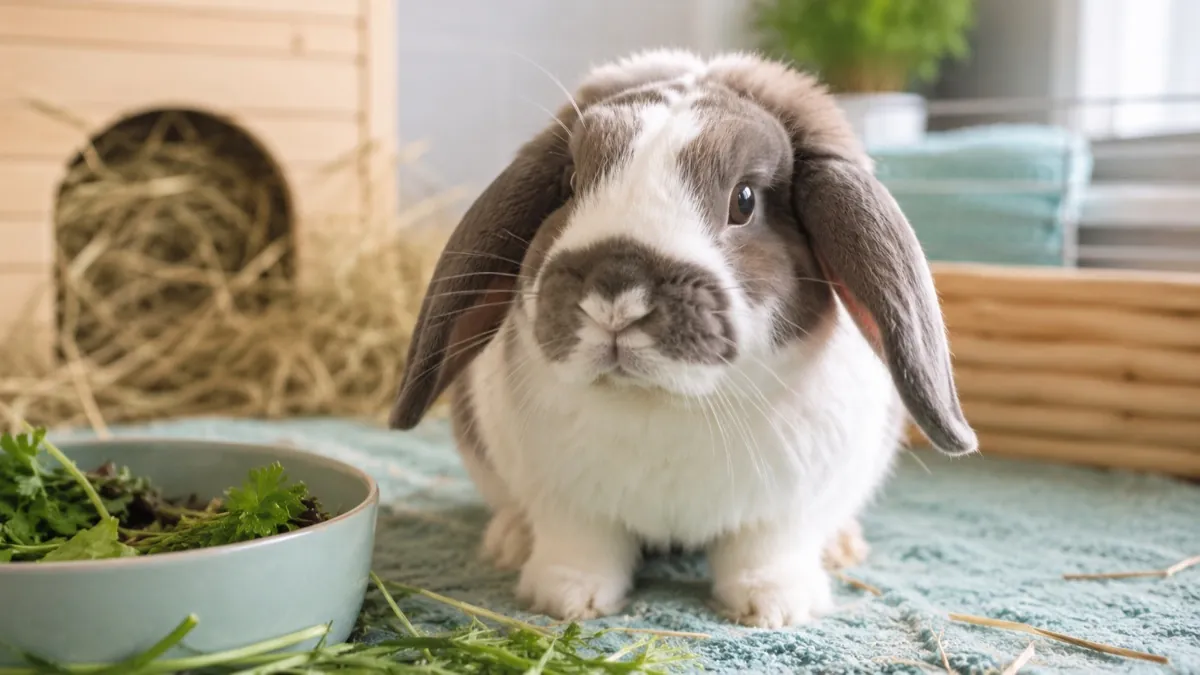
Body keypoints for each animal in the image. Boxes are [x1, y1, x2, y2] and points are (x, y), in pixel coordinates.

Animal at [387, 49, 977, 629]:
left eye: (744, 200)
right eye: (572, 182)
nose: (616, 291)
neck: (663, 402)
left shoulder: (783, 509)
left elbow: (767, 551)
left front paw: (774, 609)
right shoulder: (569, 504)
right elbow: (579, 549)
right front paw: (567, 600)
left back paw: (842, 549)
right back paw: (508, 542)